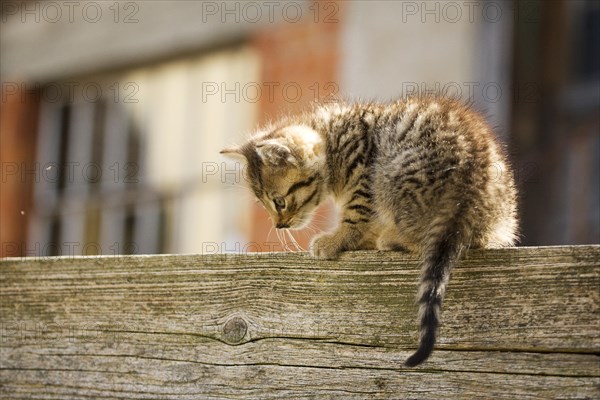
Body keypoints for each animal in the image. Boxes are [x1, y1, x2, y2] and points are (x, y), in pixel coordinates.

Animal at [223, 97, 516, 366]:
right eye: (265, 204)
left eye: (279, 202)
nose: (279, 225)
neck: (332, 138)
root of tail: (471, 180)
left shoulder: (362, 169)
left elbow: (357, 213)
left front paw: (337, 240)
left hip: (389, 170)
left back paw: (392, 238)